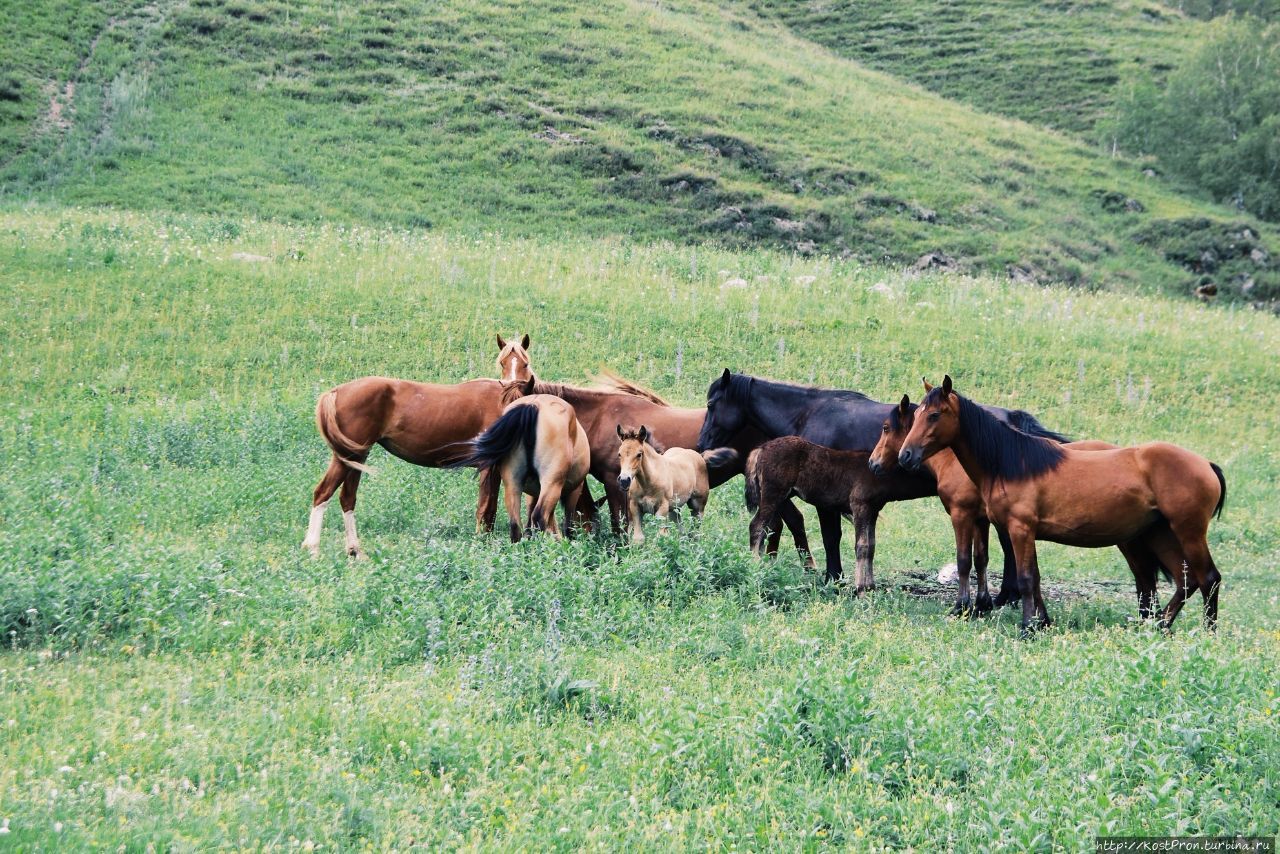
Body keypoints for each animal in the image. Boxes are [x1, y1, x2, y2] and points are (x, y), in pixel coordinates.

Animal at [302, 332, 532, 560]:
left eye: (525, 364)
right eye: (502, 362)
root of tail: (336, 391)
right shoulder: (489, 467)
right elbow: (487, 508)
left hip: (357, 458)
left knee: (347, 498)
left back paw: (354, 551)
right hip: (346, 457)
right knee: (323, 493)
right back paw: (312, 549)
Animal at [453, 394, 586, 540]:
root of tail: (533, 405)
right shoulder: (574, 490)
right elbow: (568, 522)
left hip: (513, 484)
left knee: (515, 523)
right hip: (551, 483)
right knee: (539, 516)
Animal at [696, 371, 1064, 599]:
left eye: (712, 405)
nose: (700, 444)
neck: (809, 412)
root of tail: (1012, 420)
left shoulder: (828, 501)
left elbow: (832, 538)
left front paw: (834, 578)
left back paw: (1007, 596)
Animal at [865, 394, 1157, 622]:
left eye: (886, 428)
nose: (873, 463)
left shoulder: (962, 514)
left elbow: (964, 560)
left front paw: (963, 607)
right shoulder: (981, 519)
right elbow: (981, 559)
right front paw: (981, 605)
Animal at [896, 376, 1223, 632]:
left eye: (934, 415)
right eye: (917, 415)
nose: (906, 456)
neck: (1012, 463)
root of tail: (1206, 464)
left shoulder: (1019, 529)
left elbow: (1025, 578)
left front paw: (1027, 628)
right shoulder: (1023, 532)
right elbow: (1035, 578)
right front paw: (1041, 622)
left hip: (1187, 533)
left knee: (1208, 578)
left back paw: (1207, 632)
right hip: (1159, 534)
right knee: (1185, 580)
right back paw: (1159, 625)